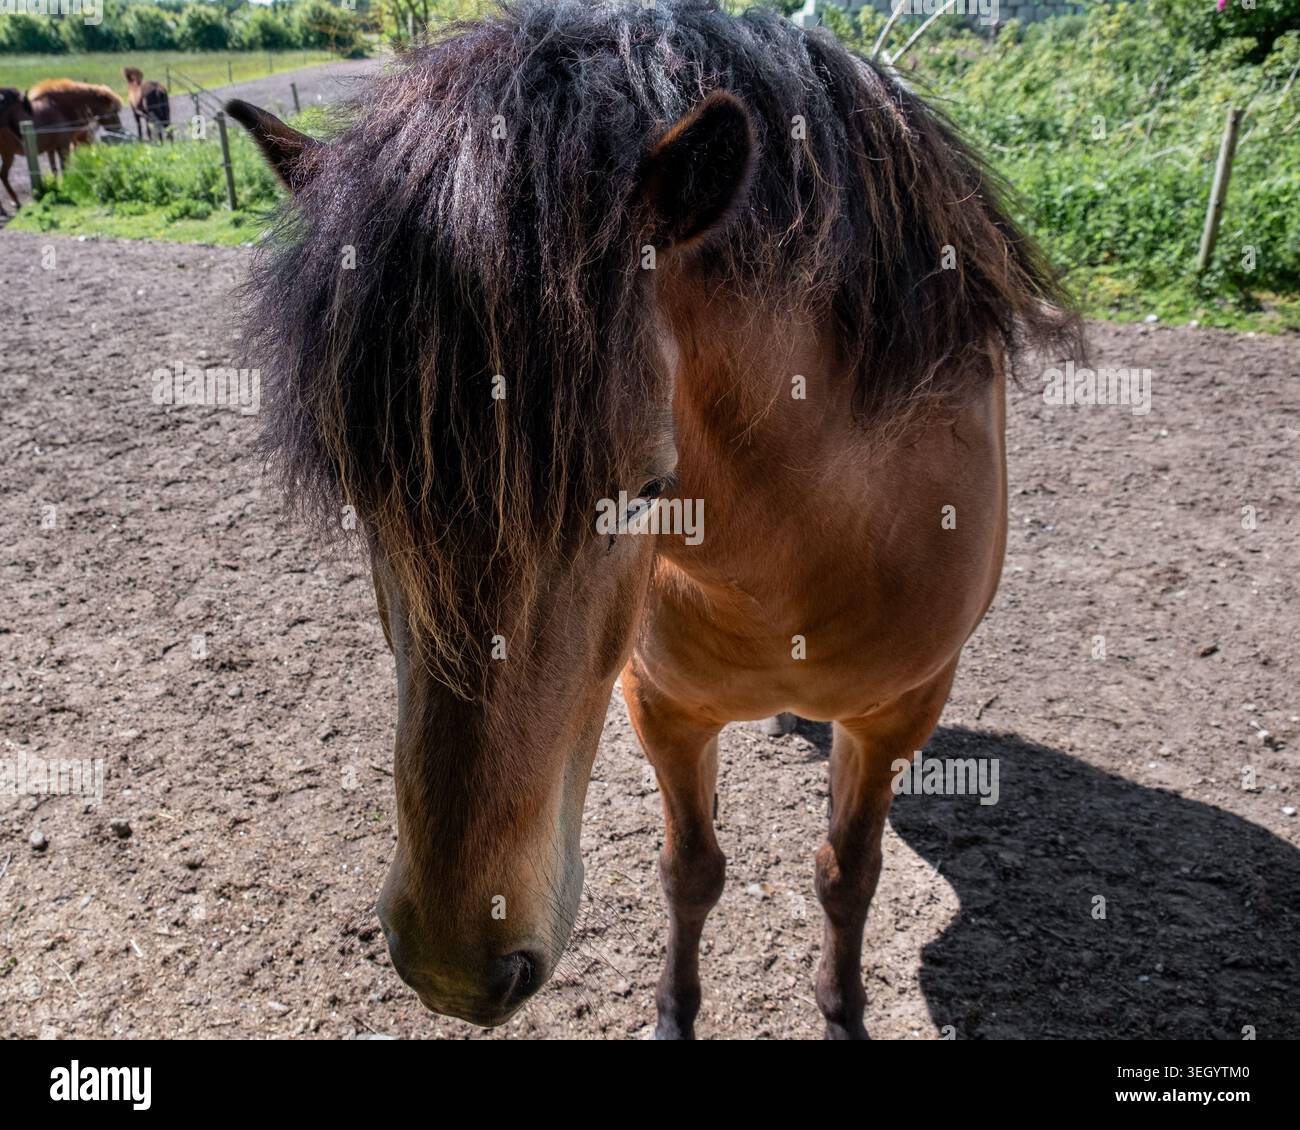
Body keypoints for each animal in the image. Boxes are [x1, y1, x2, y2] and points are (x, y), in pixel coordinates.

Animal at [230, 0, 1079, 1039]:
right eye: (357, 488)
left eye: (643, 489)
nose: (453, 967)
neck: (795, 557)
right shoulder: (666, 708)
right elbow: (691, 872)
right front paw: (675, 1012)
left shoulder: (895, 717)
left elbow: (847, 876)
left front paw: (841, 1009)